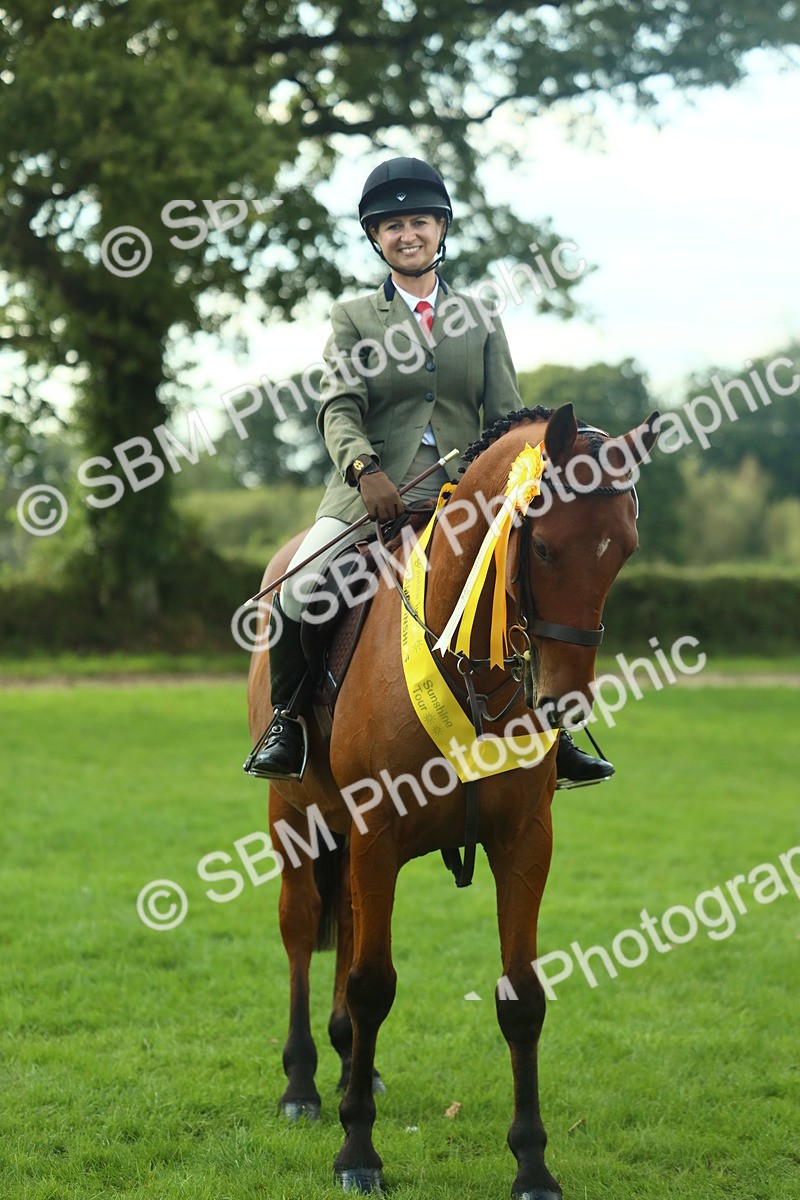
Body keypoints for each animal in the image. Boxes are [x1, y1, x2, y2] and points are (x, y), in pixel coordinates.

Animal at [247, 402, 660, 1198]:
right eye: (545, 547)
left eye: (622, 550)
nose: (563, 701)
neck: (468, 658)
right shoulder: (376, 836)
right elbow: (372, 985)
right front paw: (358, 1154)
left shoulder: (525, 841)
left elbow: (521, 997)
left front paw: (533, 1164)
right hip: (297, 819)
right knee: (300, 929)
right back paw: (305, 1086)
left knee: (346, 927)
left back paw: (353, 1069)